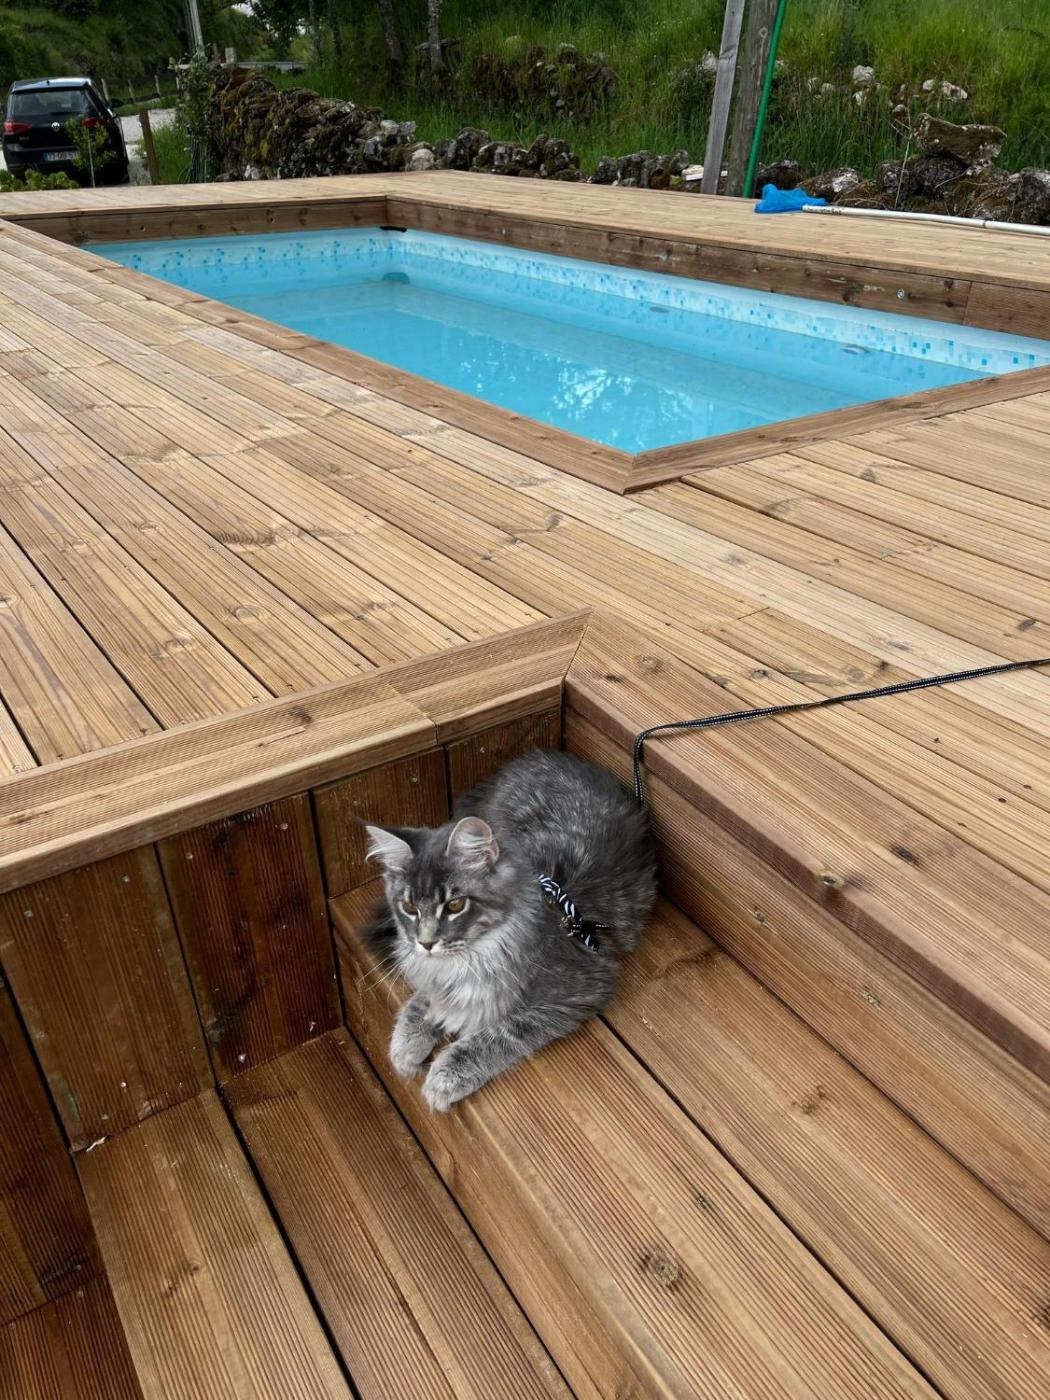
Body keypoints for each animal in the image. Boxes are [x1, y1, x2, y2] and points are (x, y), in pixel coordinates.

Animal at [364, 748, 657, 1111]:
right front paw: (406, 1043)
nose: (425, 942)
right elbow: (424, 1001)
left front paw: (447, 1076)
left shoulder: (579, 988)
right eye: (409, 907)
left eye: (455, 906)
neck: (477, 955)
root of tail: (538, 757)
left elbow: (500, 1032)